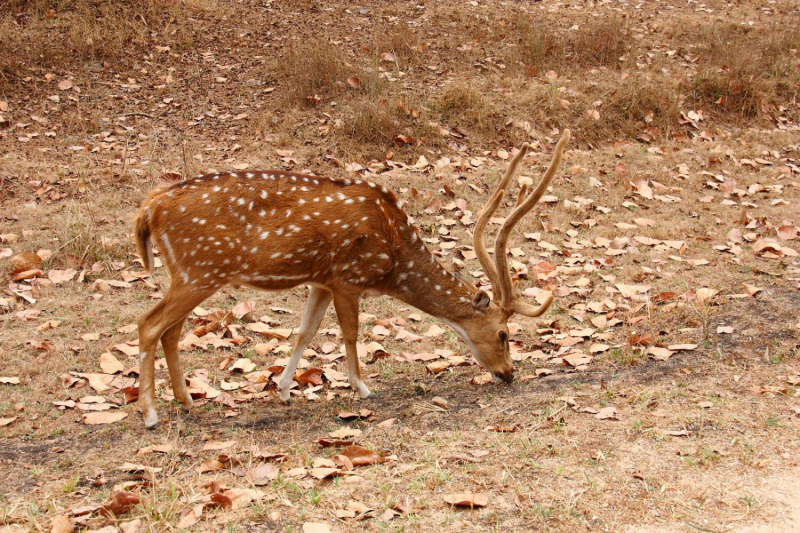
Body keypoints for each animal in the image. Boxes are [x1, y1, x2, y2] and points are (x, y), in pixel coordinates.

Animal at [133, 129, 568, 428]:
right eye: (503, 334)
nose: (508, 374)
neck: (393, 254)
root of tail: (150, 207)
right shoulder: (348, 277)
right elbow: (350, 333)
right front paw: (362, 387)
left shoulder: (320, 280)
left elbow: (305, 332)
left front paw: (284, 390)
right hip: (200, 270)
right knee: (149, 324)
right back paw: (151, 413)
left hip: (190, 274)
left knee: (170, 331)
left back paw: (187, 400)